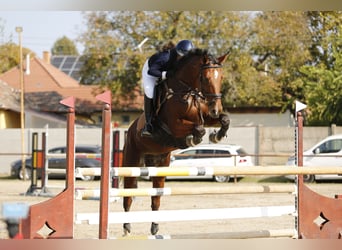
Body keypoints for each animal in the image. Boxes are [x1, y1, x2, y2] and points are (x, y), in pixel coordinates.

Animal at [122, 47, 230, 235]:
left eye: (221, 77)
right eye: (205, 78)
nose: (216, 109)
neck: (186, 91)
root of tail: (130, 129)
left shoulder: (206, 116)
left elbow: (224, 120)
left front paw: (216, 135)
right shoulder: (174, 125)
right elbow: (198, 129)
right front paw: (193, 139)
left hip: (160, 164)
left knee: (156, 197)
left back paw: (155, 227)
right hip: (132, 161)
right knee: (128, 194)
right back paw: (127, 226)